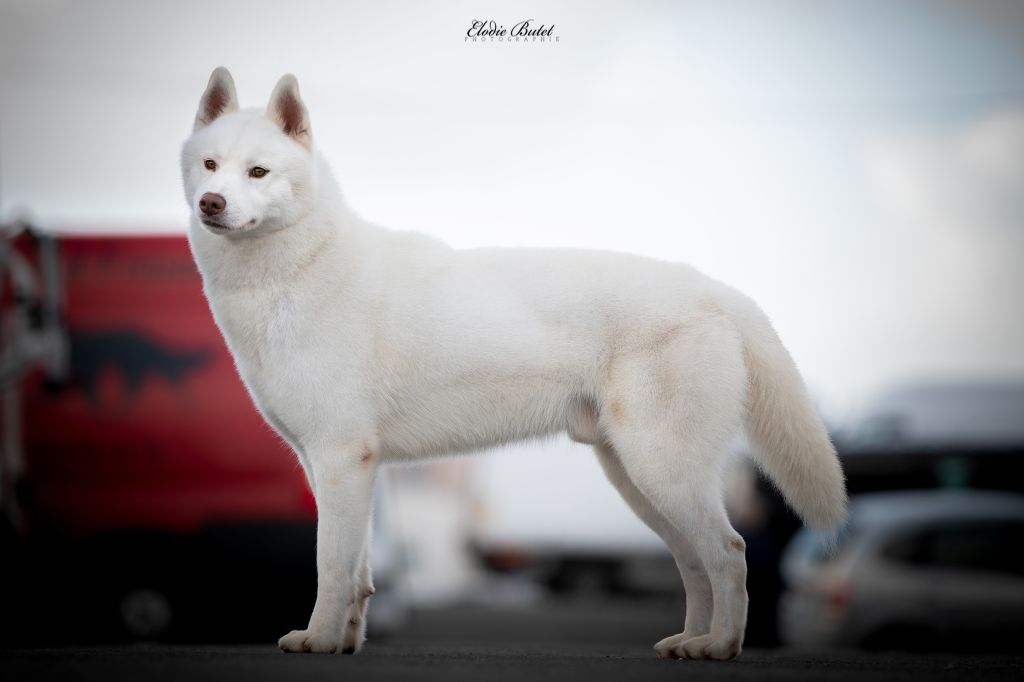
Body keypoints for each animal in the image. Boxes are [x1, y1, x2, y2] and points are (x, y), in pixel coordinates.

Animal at [184, 66, 847, 655]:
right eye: (210, 166)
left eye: (259, 171)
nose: (211, 203)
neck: (298, 269)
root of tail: (718, 292)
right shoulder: (332, 466)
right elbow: (362, 576)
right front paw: (346, 644)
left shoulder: (343, 457)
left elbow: (331, 568)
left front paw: (318, 641)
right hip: (641, 483)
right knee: (694, 562)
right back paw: (691, 642)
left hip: (663, 470)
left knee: (730, 554)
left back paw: (721, 647)